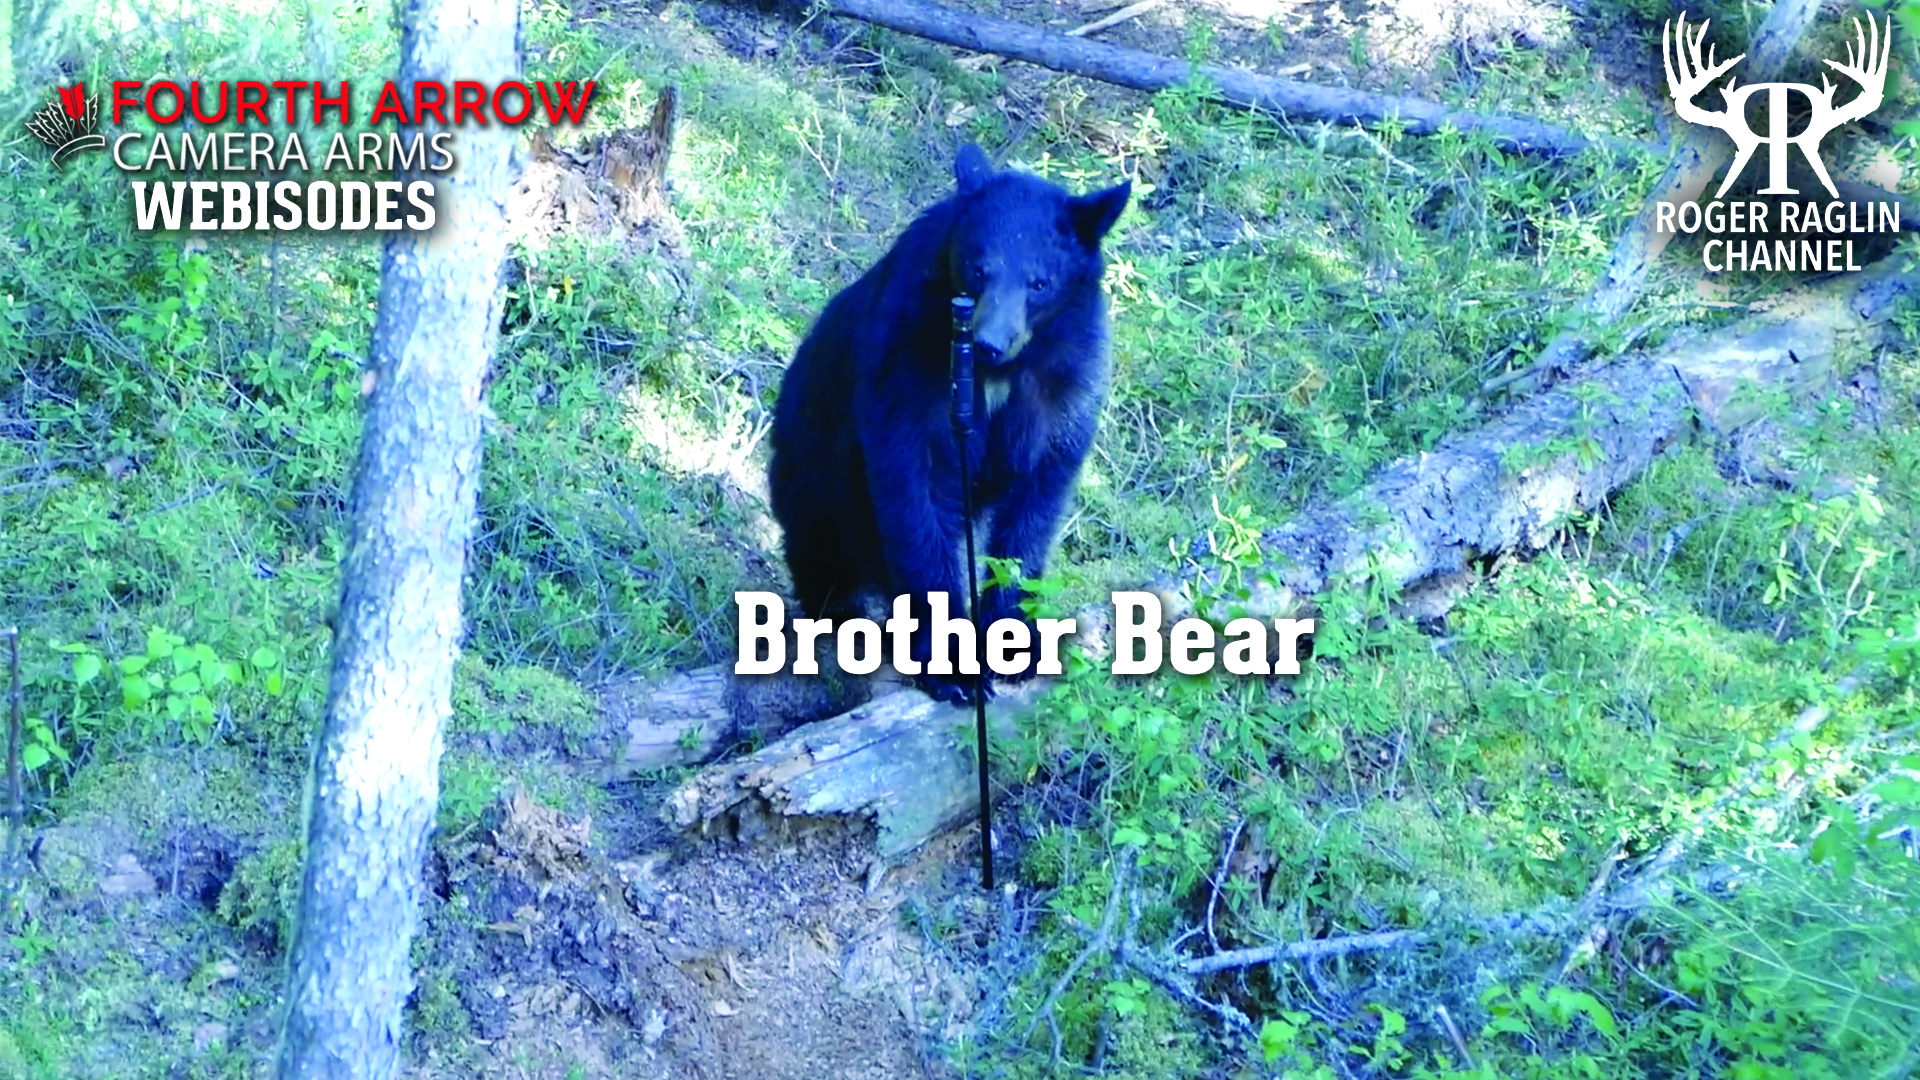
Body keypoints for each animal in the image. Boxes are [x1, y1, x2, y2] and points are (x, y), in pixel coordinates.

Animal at [767, 143, 1131, 704]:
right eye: (980, 270)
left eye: (1039, 282)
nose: (989, 341)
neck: (1001, 373)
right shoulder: (907, 357)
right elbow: (913, 483)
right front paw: (951, 664)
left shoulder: (1065, 375)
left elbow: (1038, 495)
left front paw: (1015, 643)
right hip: (811, 460)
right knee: (823, 539)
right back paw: (844, 615)